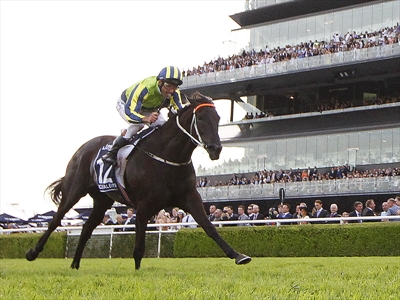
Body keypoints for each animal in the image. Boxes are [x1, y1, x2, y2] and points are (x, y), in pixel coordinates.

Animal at [25, 92, 252, 270]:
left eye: (218, 118)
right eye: (202, 118)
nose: (216, 149)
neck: (167, 155)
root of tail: (83, 148)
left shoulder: (189, 197)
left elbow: (209, 226)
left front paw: (238, 255)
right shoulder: (144, 204)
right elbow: (140, 242)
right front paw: (137, 270)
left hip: (102, 200)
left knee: (87, 228)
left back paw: (75, 264)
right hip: (74, 189)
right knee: (56, 219)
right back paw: (33, 253)